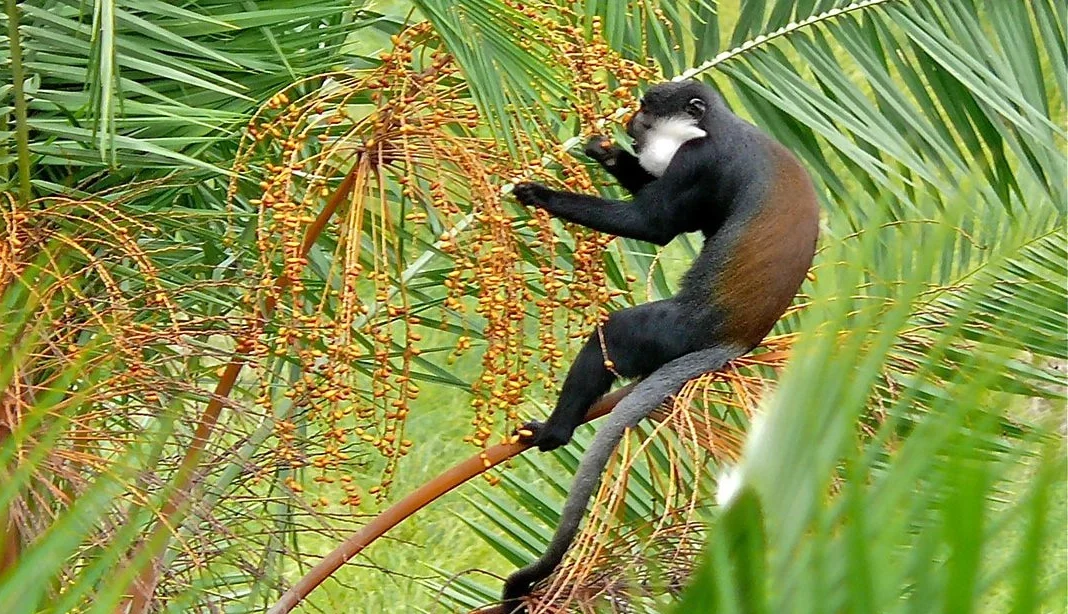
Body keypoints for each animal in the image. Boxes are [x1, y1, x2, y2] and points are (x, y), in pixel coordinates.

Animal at [498, 80, 819, 612]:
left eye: (647, 109)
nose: (631, 121)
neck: (713, 126)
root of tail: (736, 340)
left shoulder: (697, 161)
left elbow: (654, 226)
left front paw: (539, 194)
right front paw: (604, 151)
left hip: (675, 331)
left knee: (614, 333)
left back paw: (557, 431)